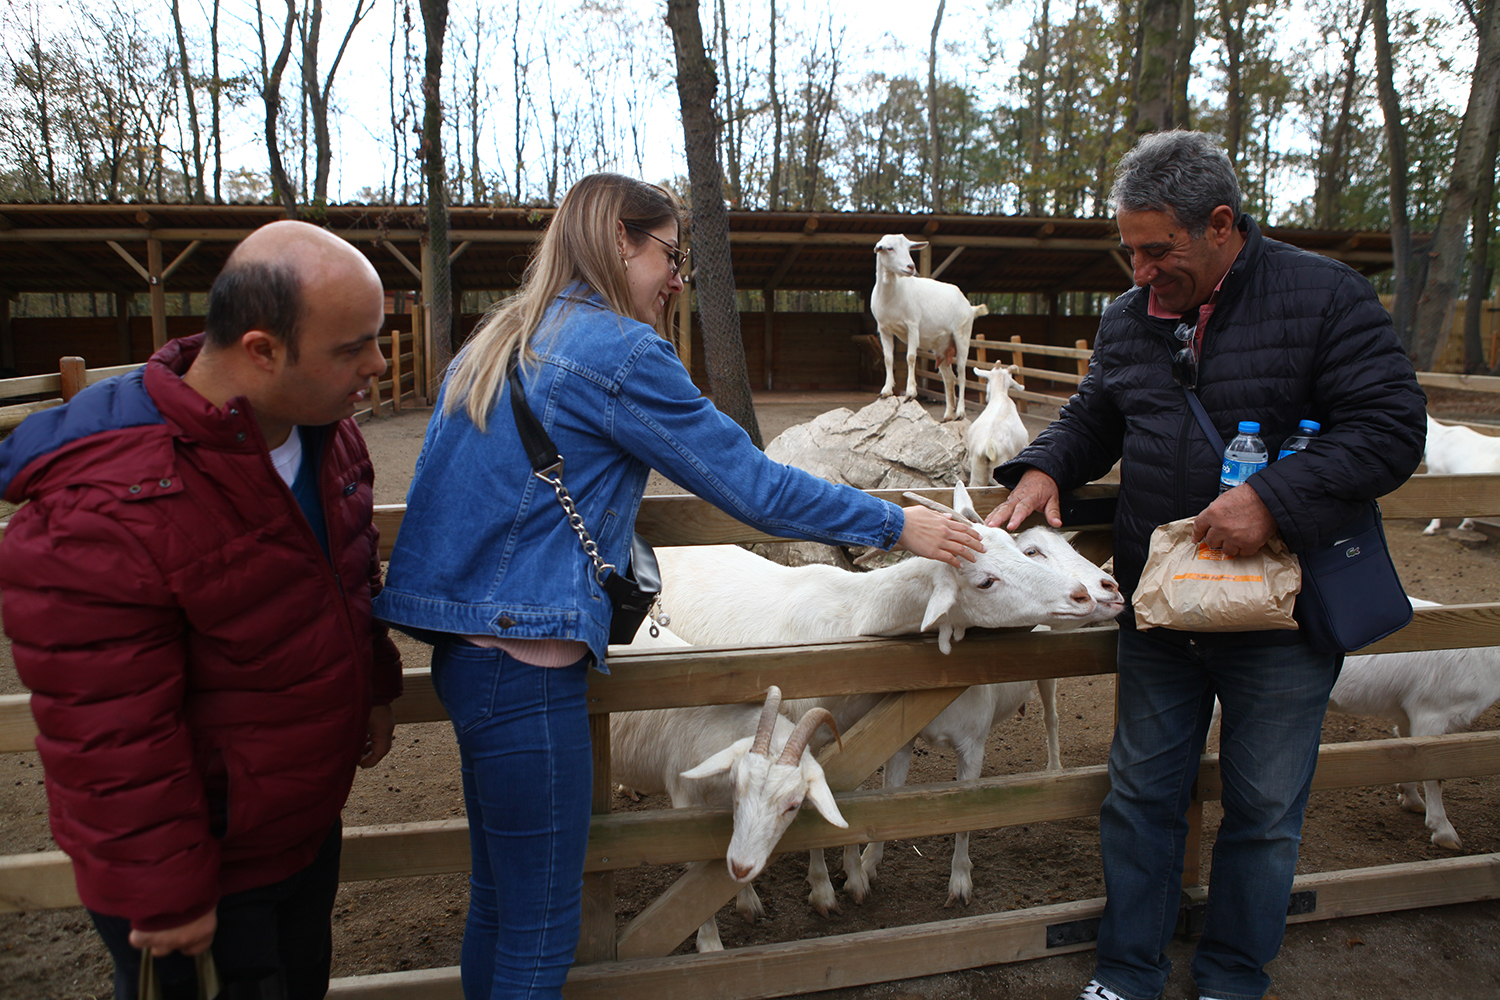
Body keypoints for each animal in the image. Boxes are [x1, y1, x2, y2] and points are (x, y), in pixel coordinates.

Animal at [609, 677, 846, 953]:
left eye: (794, 805)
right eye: (735, 783)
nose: (741, 868)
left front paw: (747, 900)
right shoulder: (687, 804)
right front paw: (710, 943)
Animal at [852, 524, 1122, 905]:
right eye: (1031, 552)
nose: (1109, 587)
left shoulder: (972, 748)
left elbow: (967, 813)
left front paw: (960, 882)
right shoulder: (902, 738)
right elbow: (889, 797)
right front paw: (868, 863)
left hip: (1049, 672)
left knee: (1051, 719)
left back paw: (1054, 770)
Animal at [876, 235, 990, 422]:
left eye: (909, 248)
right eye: (889, 248)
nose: (911, 267)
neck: (893, 294)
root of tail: (969, 307)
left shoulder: (912, 325)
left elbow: (911, 357)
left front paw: (910, 393)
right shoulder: (884, 328)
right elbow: (887, 358)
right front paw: (885, 391)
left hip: (962, 335)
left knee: (962, 373)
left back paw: (960, 412)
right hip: (942, 347)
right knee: (949, 377)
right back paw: (948, 415)